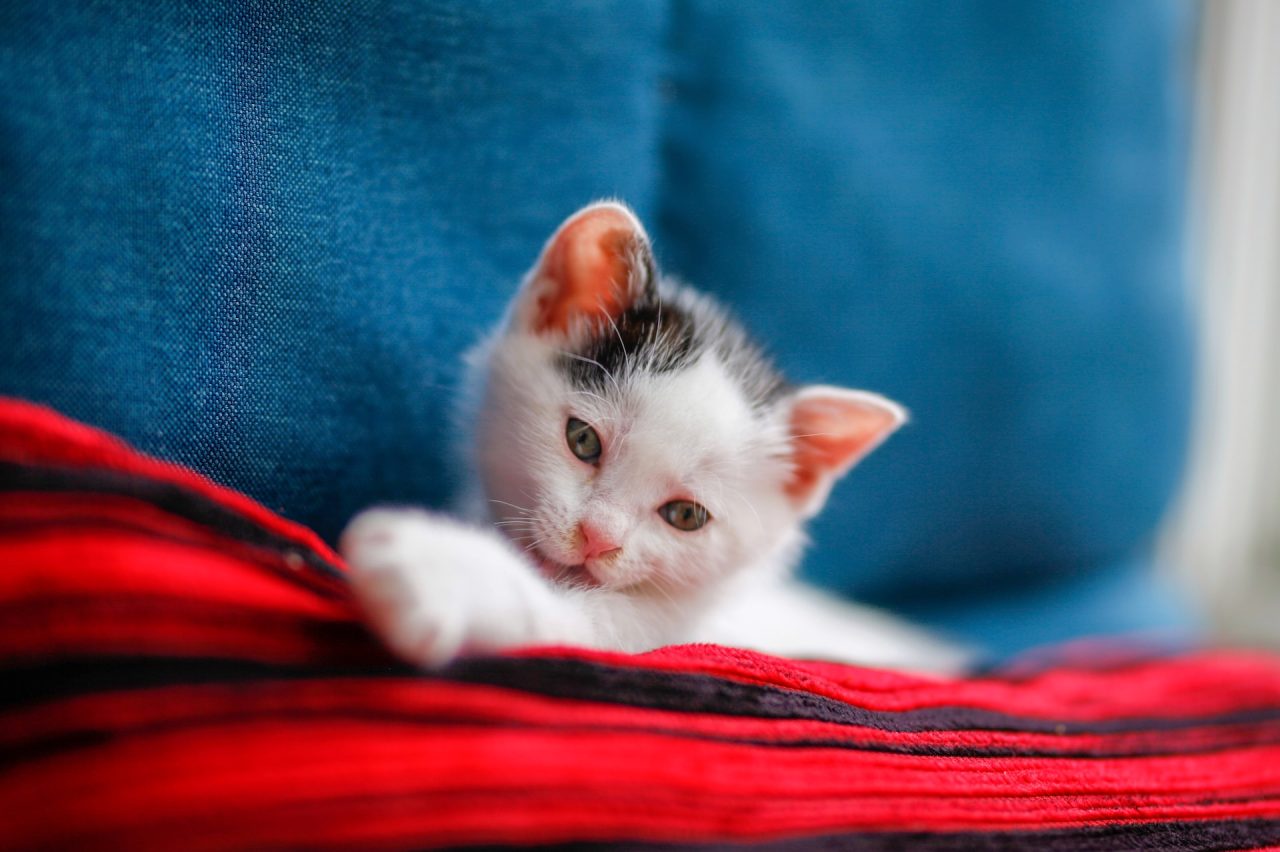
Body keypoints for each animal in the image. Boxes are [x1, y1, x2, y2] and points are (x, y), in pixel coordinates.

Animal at [345, 199, 962, 670]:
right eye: (583, 440)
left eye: (686, 515)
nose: (597, 538)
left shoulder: (656, 634)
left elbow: (565, 617)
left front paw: (433, 569)